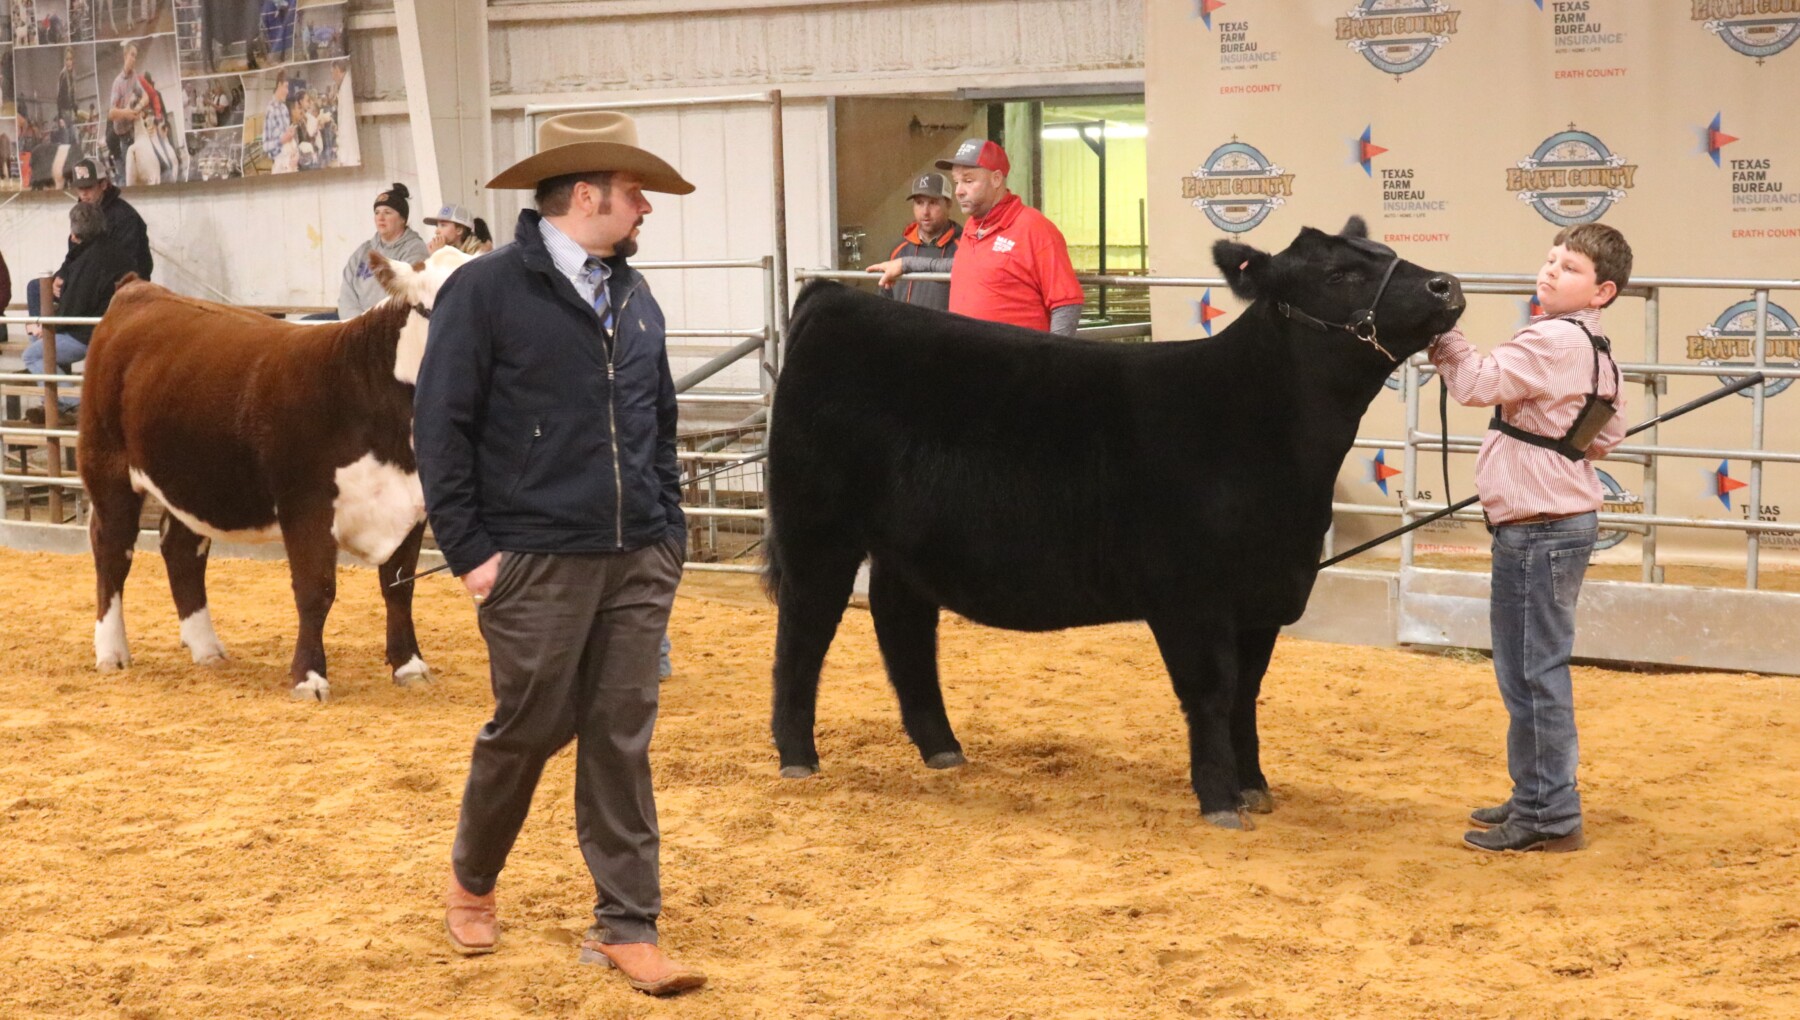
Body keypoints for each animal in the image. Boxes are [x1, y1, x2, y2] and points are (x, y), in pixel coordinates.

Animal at [78, 248, 475, 697]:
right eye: (437, 305)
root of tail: (139, 288)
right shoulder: (305, 505)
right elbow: (316, 590)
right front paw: (309, 676)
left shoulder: (412, 503)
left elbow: (399, 586)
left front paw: (409, 666)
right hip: (107, 465)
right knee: (112, 550)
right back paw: (112, 652)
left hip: (197, 479)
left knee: (181, 549)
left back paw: (206, 648)